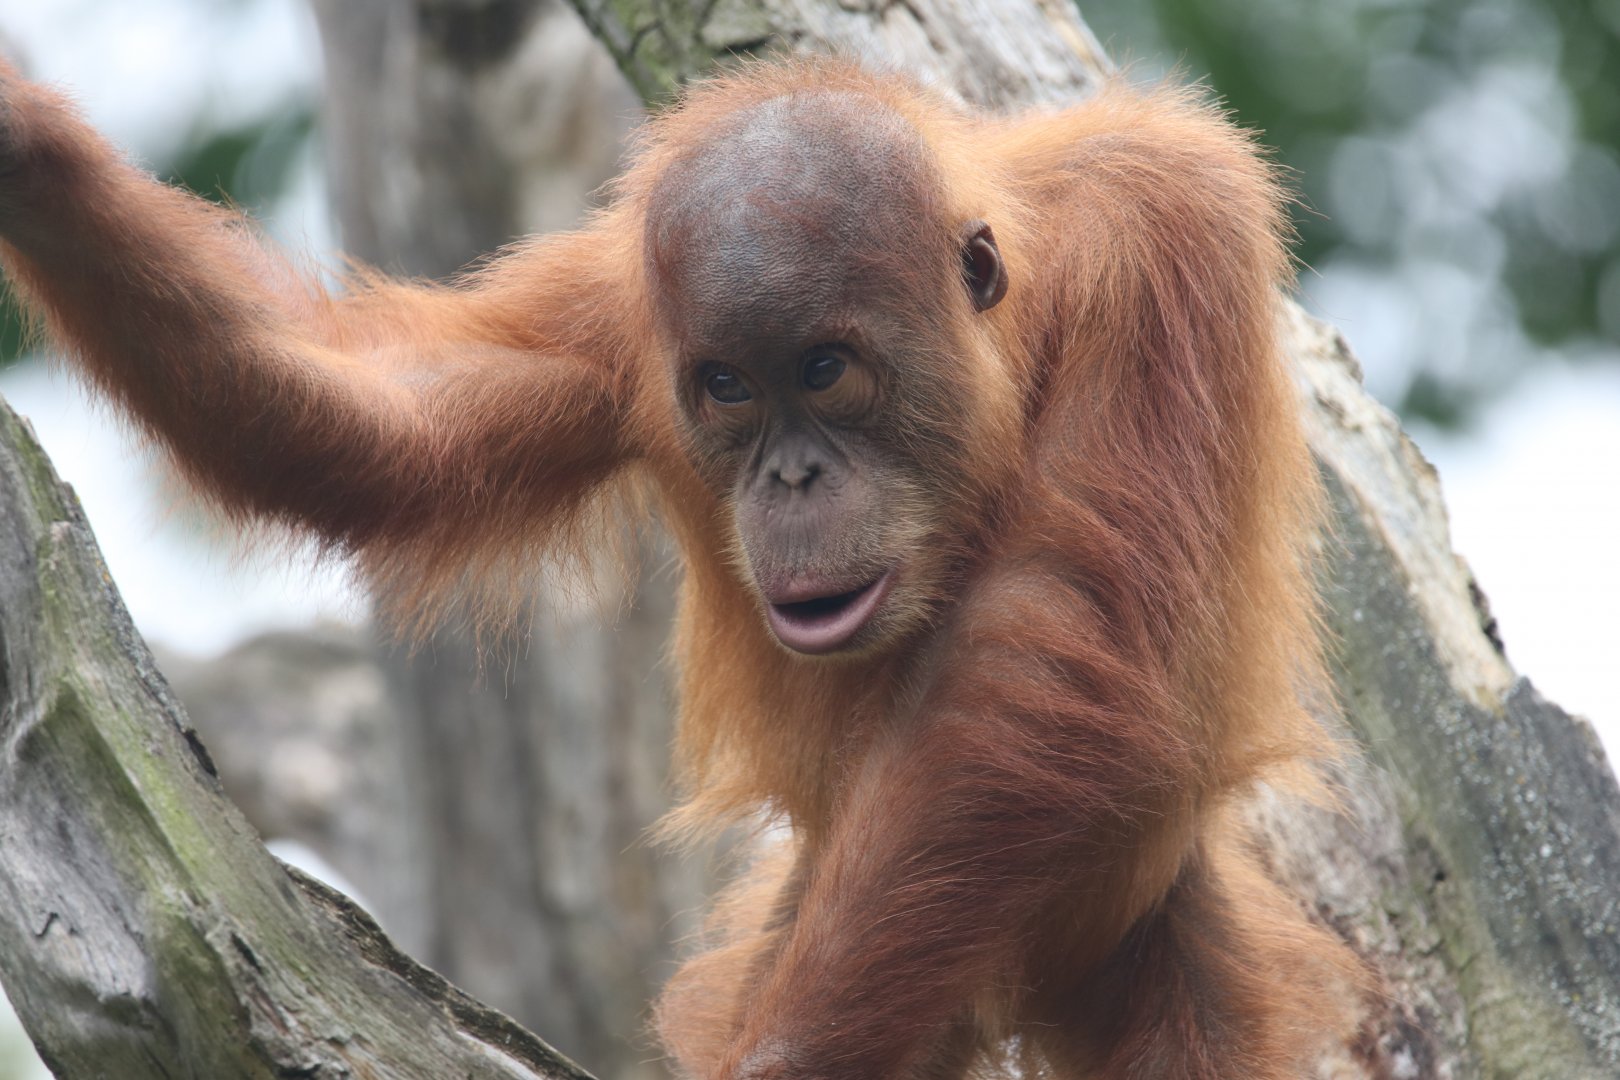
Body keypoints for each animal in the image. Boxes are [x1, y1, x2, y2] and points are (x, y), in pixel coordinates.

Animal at [0, 56, 1359, 1078]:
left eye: (825, 370)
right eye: (728, 389)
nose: (790, 478)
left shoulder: (1164, 228)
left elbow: (1040, 627)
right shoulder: (617, 313)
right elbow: (387, 423)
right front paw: (37, 158)